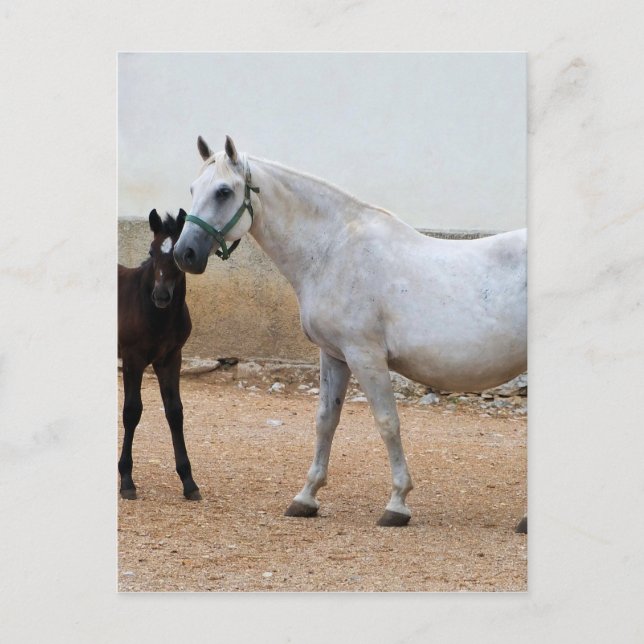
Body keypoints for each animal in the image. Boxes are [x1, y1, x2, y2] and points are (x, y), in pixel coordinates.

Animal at [118, 208, 201, 501]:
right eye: (151, 251)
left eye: (177, 254)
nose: (161, 295)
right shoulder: (132, 358)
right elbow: (131, 411)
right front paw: (126, 480)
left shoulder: (170, 358)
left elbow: (175, 412)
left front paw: (189, 481)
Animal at [174, 136, 527, 527]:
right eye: (192, 188)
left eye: (223, 191)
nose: (183, 253)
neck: (334, 251)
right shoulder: (334, 355)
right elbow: (325, 421)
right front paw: (306, 497)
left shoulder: (365, 355)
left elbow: (387, 422)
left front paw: (397, 503)